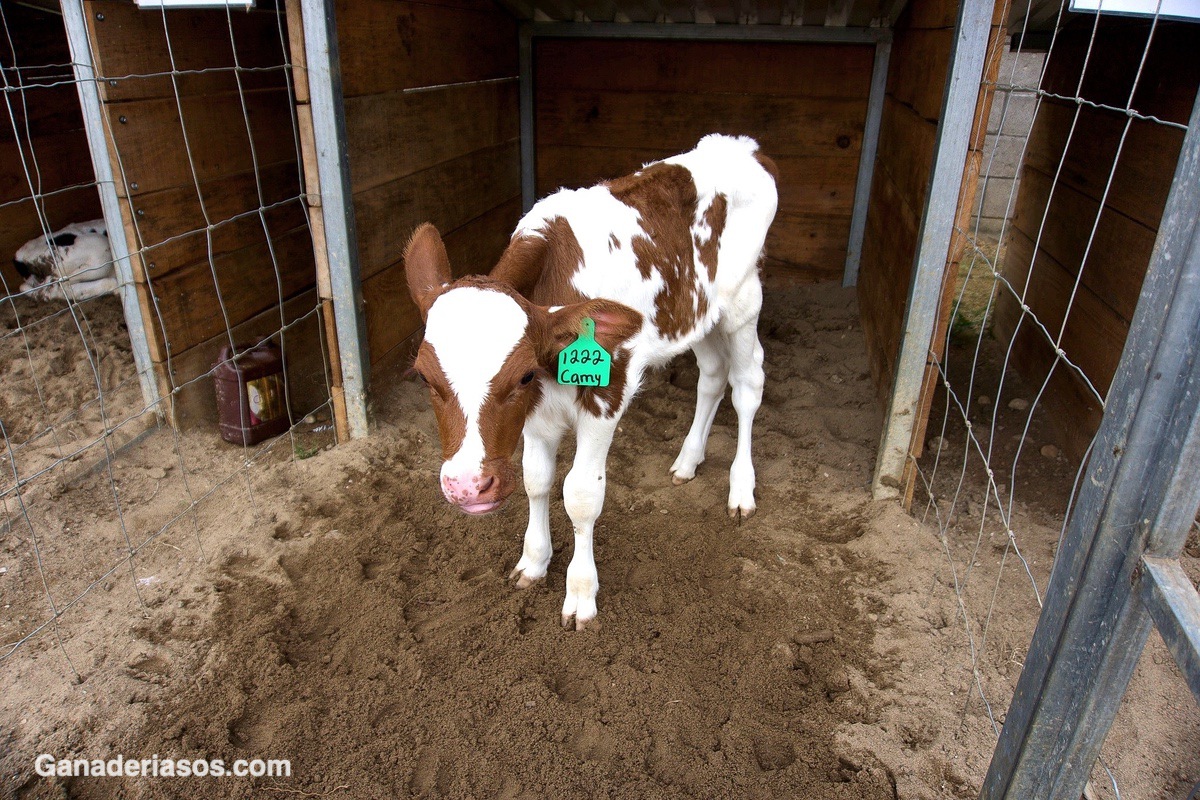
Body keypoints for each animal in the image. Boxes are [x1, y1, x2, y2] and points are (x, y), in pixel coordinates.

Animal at [403, 133, 777, 633]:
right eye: (424, 376)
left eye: (522, 373)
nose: (467, 487)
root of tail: (743, 145)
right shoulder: (536, 412)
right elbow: (536, 480)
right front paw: (533, 562)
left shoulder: (606, 394)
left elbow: (581, 494)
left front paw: (580, 595)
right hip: (695, 312)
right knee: (713, 375)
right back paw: (687, 460)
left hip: (743, 301)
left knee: (747, 382)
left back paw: (741, 488)